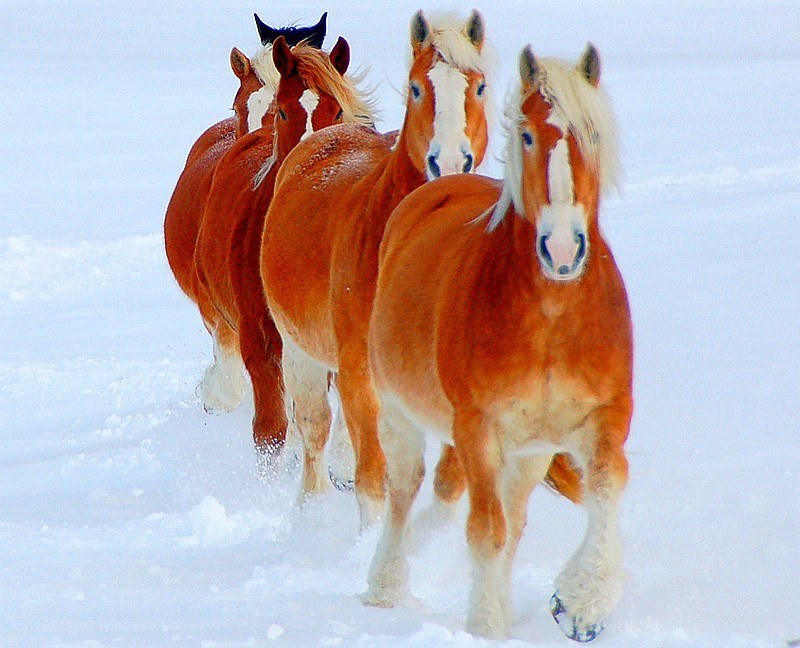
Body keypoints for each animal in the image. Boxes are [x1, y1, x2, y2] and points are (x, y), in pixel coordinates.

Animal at [260, 10, 493, 527]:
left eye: (480, 86)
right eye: (416, 87)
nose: (450, 160)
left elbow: (448, 488)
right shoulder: (356, 373)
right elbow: (370, 479)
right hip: (301, 353)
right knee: (314, 432)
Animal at [363, 44, 630, 643]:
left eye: (592, 133)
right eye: (527, 135)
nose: (562, 249)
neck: (551, 317)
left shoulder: (604, 417)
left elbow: (606, 491)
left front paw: (581, 603)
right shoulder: (478, 430)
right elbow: (485, 531)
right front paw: (485, 626)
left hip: (528, 453)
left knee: (514, 518)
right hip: (398, 413)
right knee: (402, 491)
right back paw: (384, 584)